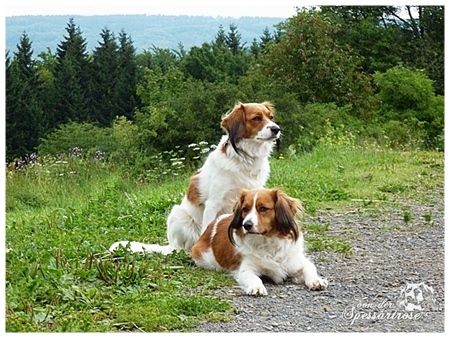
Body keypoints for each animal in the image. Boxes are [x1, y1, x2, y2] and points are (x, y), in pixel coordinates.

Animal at [110, 101, 280, 255]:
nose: (276, 129)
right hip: (178, 213)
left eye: (271, 117)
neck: (246, 158)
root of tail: (169, 245)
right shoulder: (214, 203)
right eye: (256, 118)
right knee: (180, 248)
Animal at [190, 187, 326, 296]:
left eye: (263, 209)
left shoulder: (298, 261)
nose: (246, 225)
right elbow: (254, 278)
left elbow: (310, 268)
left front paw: (316, 281)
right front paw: (257, 287)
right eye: (245, 209)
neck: (267, 242)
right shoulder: (245, 269)